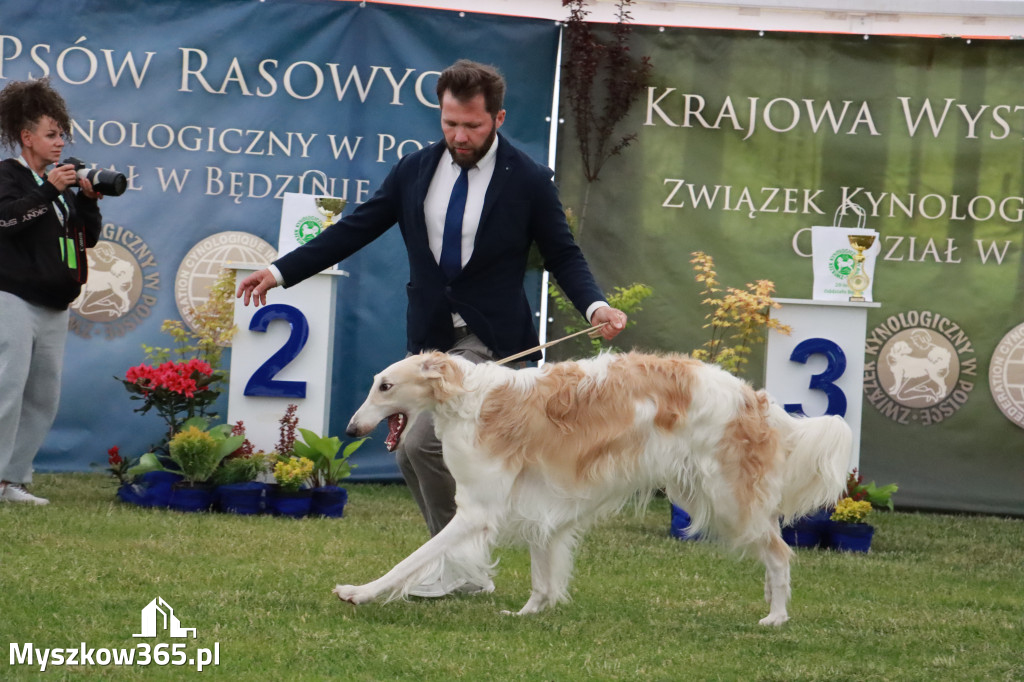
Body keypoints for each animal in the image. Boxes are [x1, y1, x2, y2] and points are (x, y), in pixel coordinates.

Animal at [339, 350, 851, 622]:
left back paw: (776, 616)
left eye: (385, 386)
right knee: (772, 548)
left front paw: (359, 591)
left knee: (780, 552)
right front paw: (530, 612)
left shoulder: (477, 510)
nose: (349, 428)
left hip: (727, 498)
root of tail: (754, 398)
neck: (468, 398)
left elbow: (411, 560)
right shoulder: (539, 507)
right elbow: (542, 574)